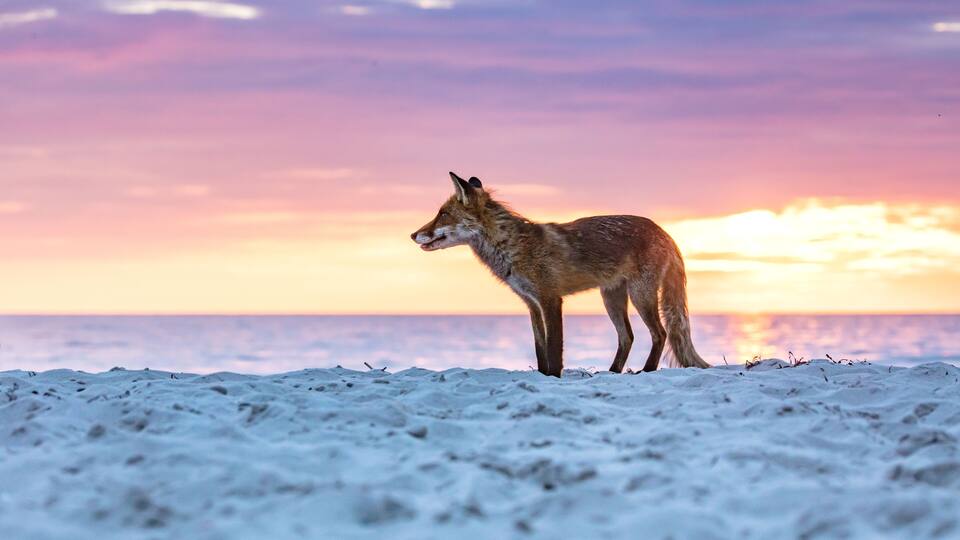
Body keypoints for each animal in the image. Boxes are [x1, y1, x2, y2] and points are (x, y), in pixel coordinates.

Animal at [411, 172, 710, 377]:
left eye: (443, 214)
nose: (413, 234)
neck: (514, 248)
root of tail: (664, 231)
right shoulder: (531, 303)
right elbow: (539, 347)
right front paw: (544, 376)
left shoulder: (551, 299)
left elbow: (555, 346)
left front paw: (554, 376)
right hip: (611, 298)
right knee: (628, 337)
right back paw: (612, 372)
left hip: (640, 295)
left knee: (660, 333)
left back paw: (646, 371)